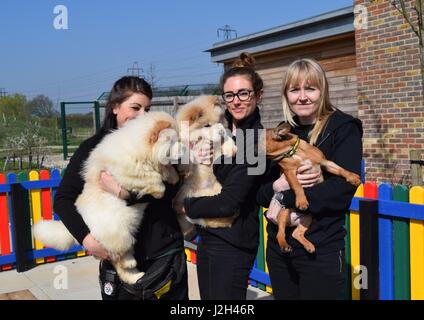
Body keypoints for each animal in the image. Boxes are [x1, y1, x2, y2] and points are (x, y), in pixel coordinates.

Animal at [32, 111, 185, 284]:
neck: (141, 149)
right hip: (119, 233)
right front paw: (159, 191)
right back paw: (131, 266)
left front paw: (173, 177)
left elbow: (165, 169)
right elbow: (151, 177)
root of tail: (83, 220)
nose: (184, 149)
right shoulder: (128, 171)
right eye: (171, 141)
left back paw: (136, 276)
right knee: (118, 259)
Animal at [173, 95, 238, 235]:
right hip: (184, 193)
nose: (221, 130)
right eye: (207, 125)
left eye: (219, 120)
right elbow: (187, 149)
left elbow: (228, 138)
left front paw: (232, 149)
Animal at [264, 122, 362, 252]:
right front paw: (301, 201)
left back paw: (308, 245)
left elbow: (340, 169)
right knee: (280, 233)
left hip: (307, 217)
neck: (293, 152)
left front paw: (352, 177)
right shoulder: (290, 173)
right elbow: (297, 185)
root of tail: (292, 221)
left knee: (296, 233)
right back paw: (285, 245)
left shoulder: (325, 163)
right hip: (284, 212)